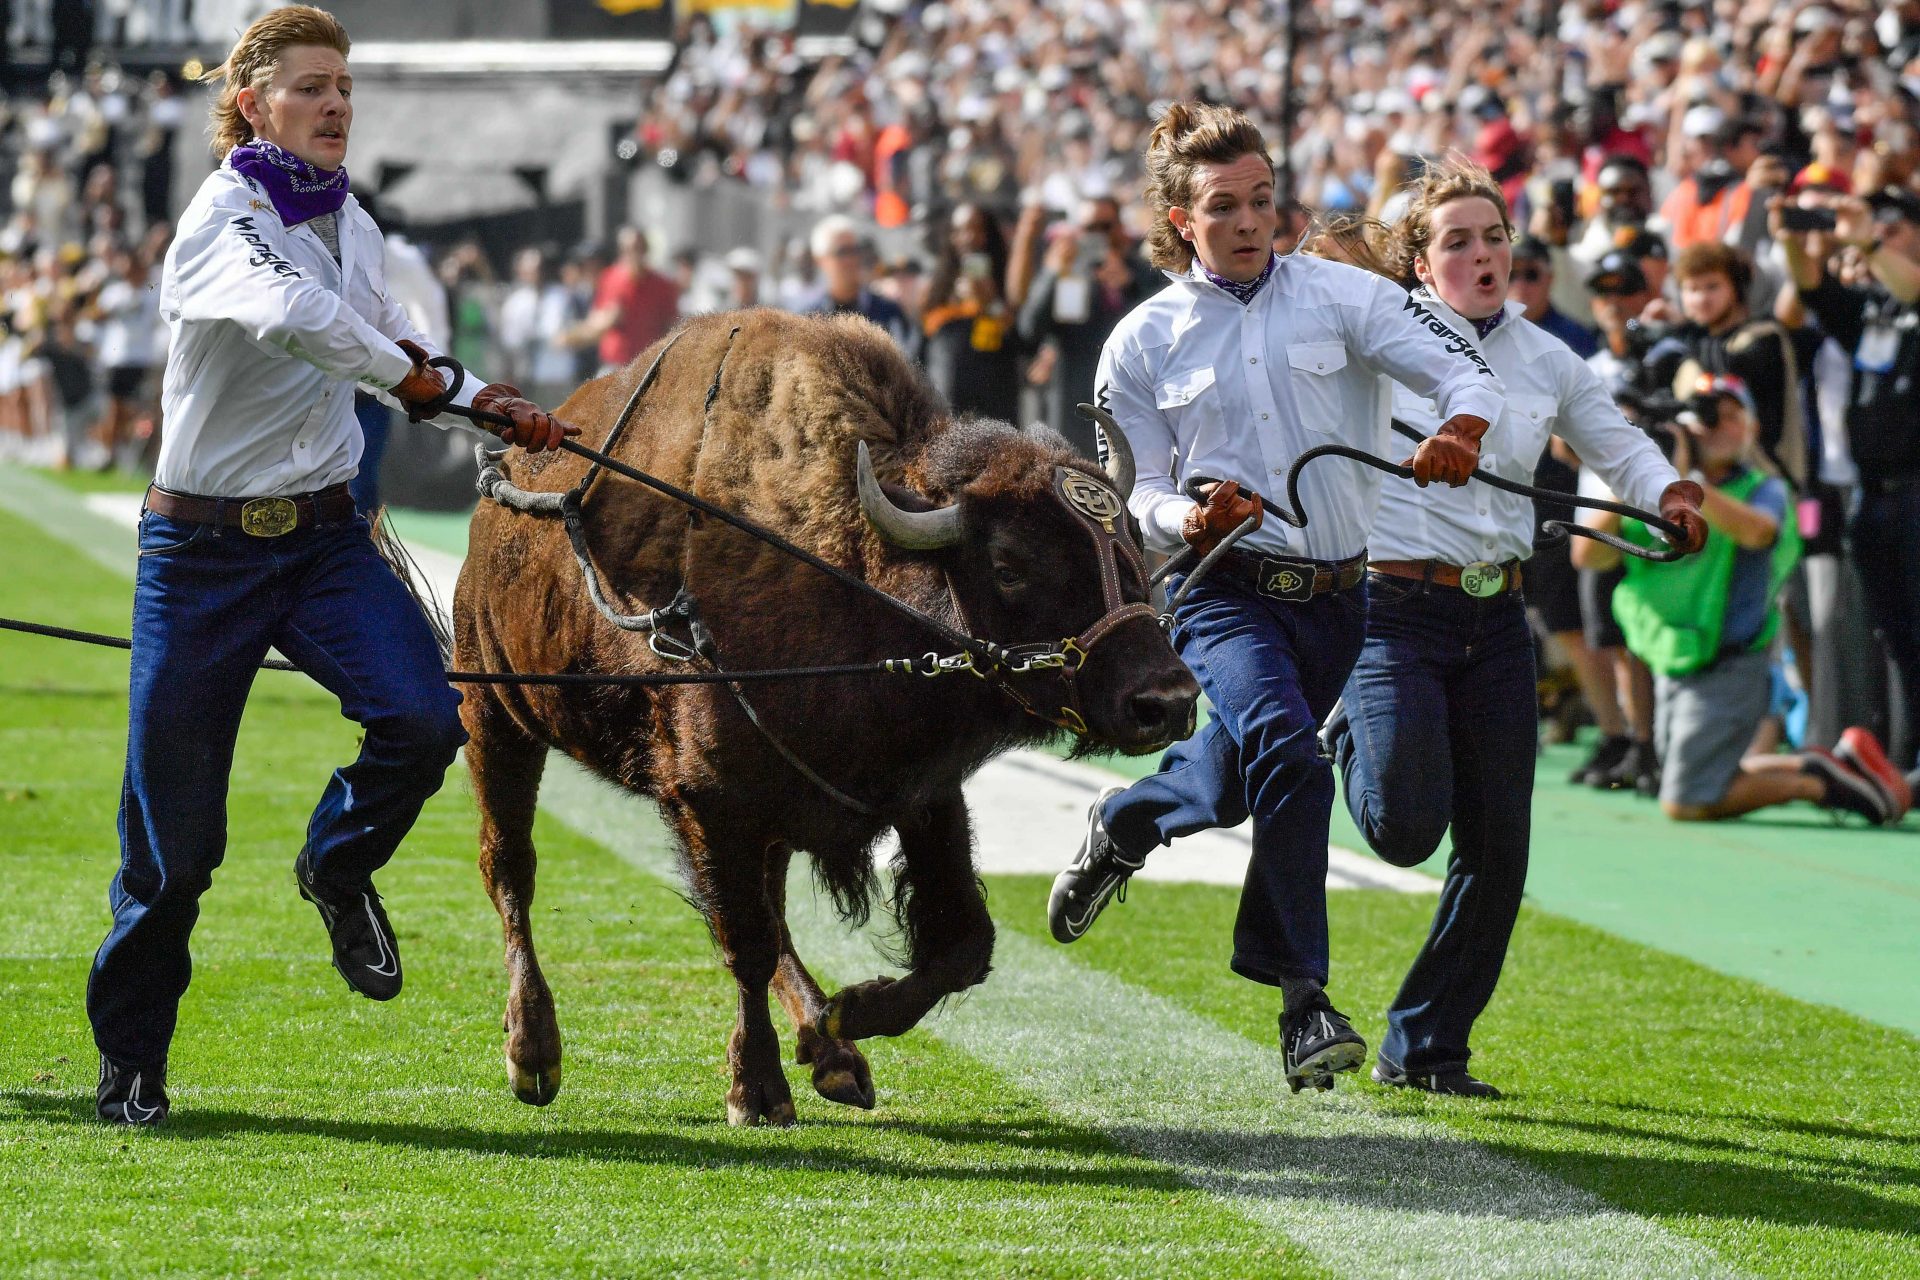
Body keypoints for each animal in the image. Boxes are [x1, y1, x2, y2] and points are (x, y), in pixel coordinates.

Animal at [455, 307, 1190, 1120]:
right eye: (1009, 565)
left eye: (1128, 545)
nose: (1165, 701)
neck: (852, 571)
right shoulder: (710, 803)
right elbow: (744, 943)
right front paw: (758, 1090)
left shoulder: (920, 797)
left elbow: (963, 943)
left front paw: (845, 1017)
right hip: (495, 718)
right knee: (510, 868)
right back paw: (534, 1055)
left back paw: (834, 1056)